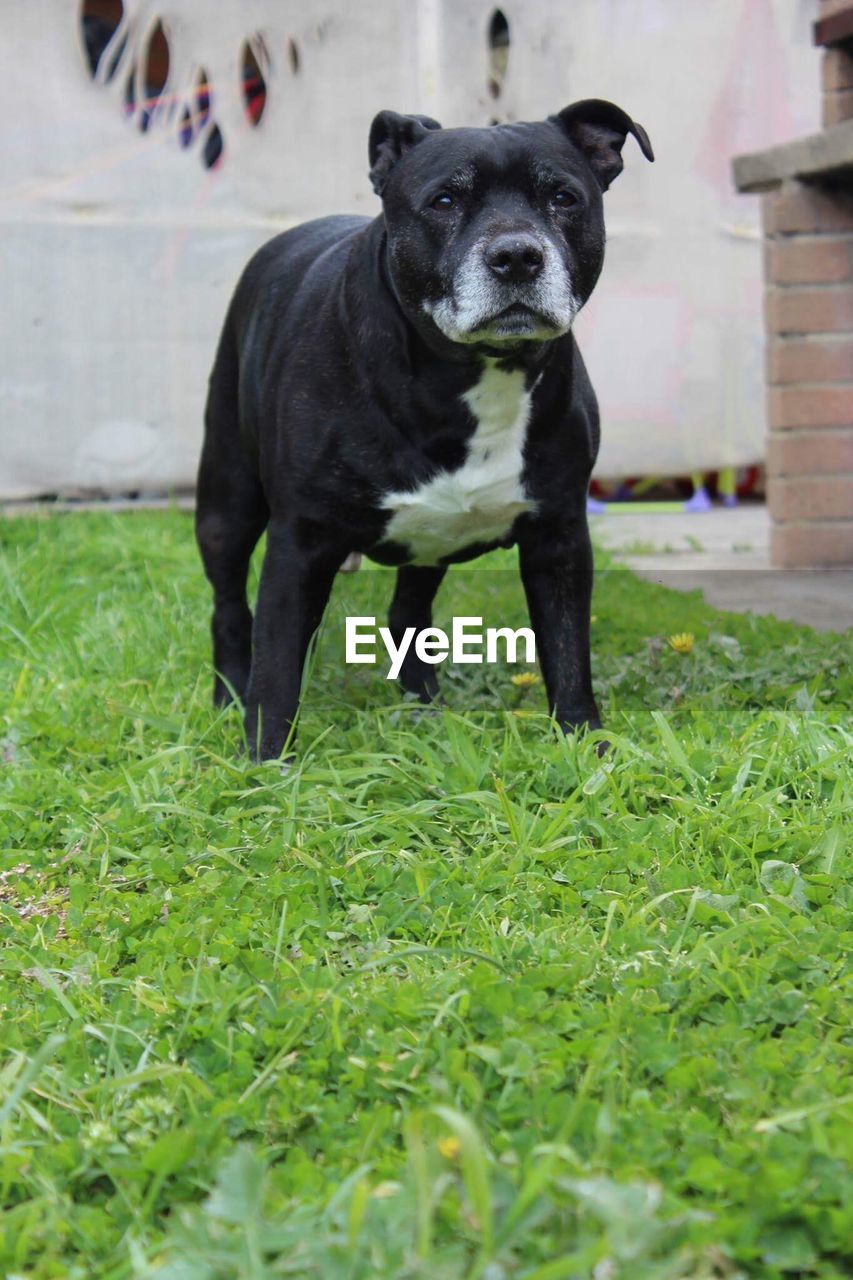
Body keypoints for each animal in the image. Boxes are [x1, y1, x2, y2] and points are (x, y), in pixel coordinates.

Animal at [197, 104, 650, 757]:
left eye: (563, 197)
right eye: (444, 200)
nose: (517, 255)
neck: (467, 373)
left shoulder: (559, 536)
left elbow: (568, 652)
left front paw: (584, 746)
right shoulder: (299, 540)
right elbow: (277, 665)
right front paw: (263, 763)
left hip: (431, 541)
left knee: (407, 612)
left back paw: (423, 707)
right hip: (227, 498)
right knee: (230, 603)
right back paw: (228, 693)